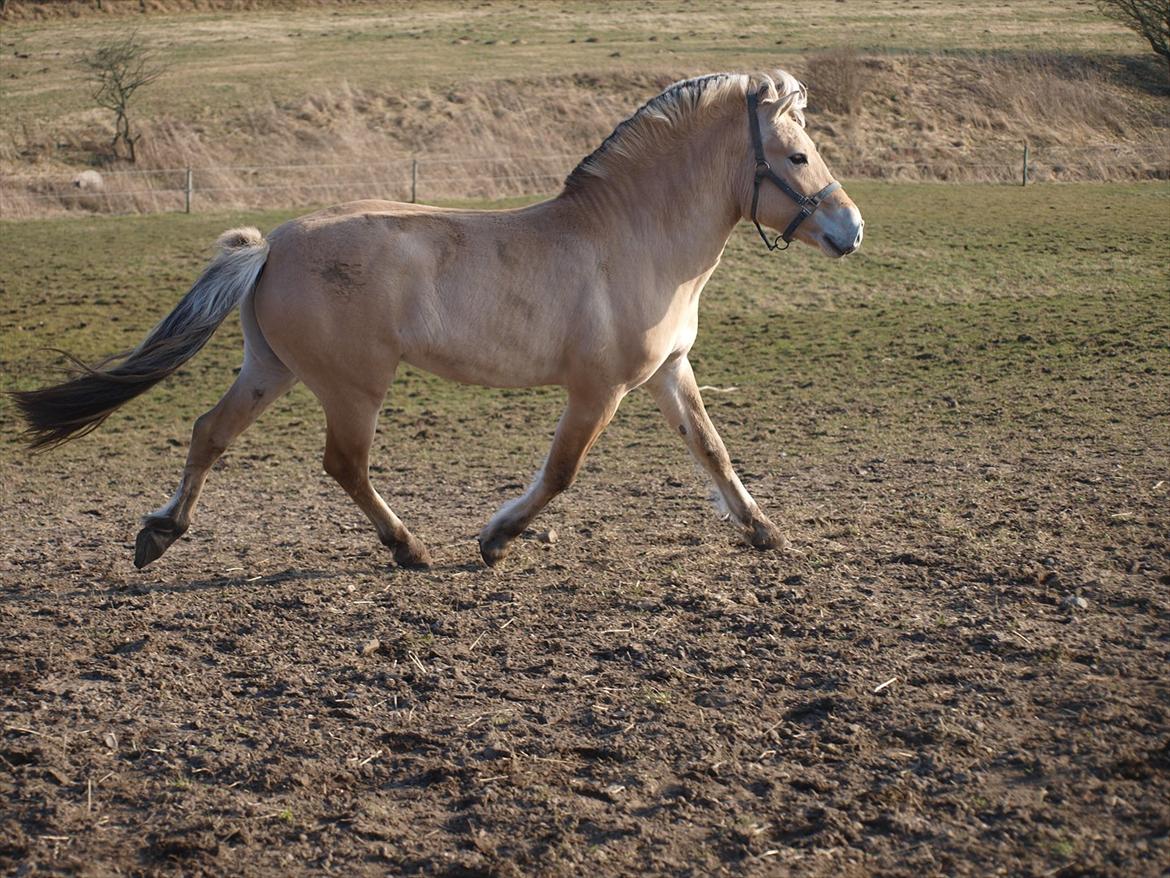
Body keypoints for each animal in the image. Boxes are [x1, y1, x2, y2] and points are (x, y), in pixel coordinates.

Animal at [13, 72, 865, 573]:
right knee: (343, 465)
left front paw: (764, 531)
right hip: (354, 388)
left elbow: (713, 452)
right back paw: (409, 547)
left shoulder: (666, 373)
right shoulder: (599, 391)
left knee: (209, 433)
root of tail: (274, 243)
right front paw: (493, 539)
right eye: (796, 157)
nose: (851, 231)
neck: (630, 239)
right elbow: (562, 472)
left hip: (269, 368)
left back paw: (160, 534)